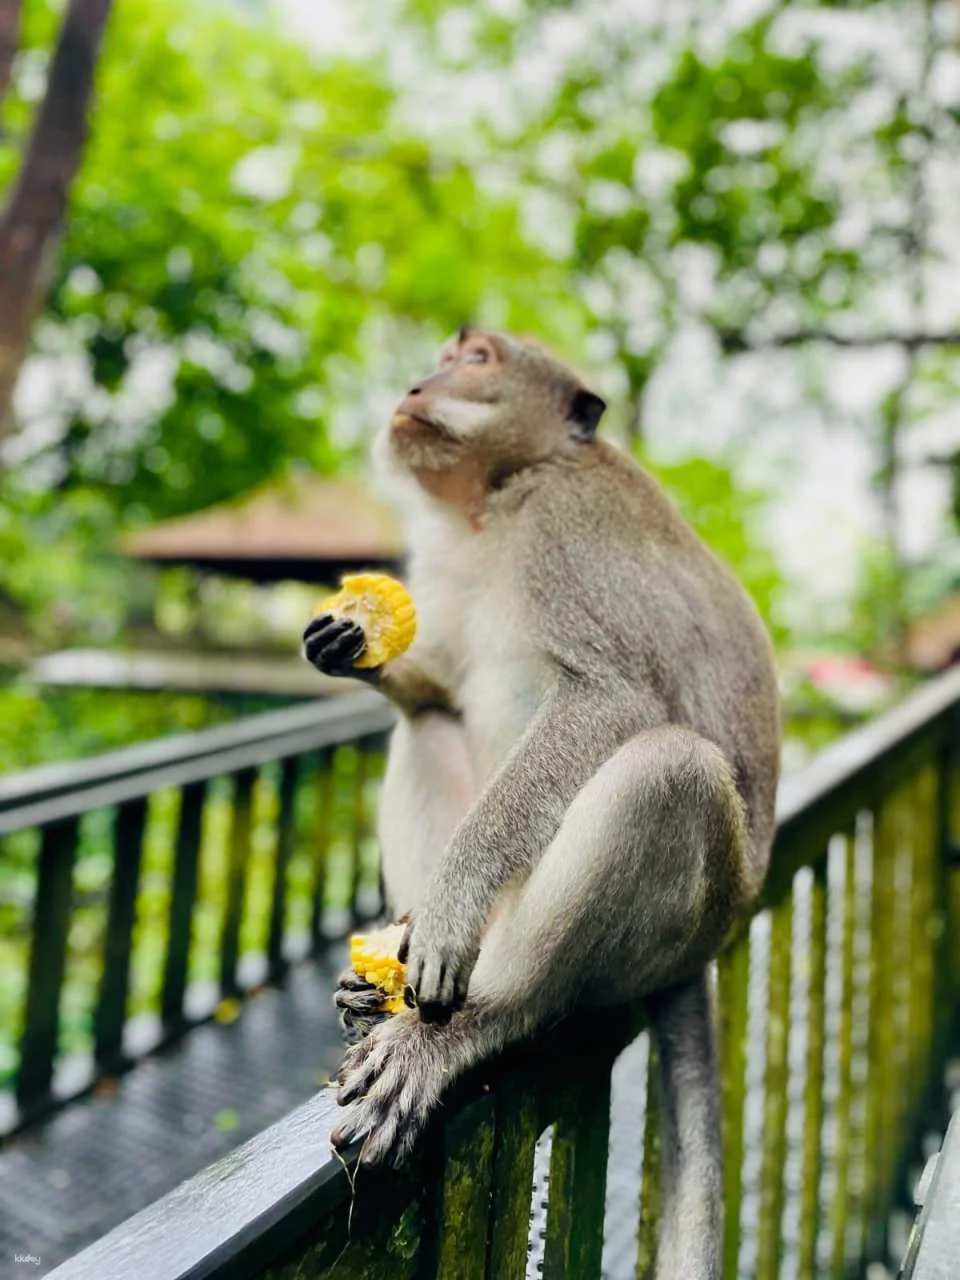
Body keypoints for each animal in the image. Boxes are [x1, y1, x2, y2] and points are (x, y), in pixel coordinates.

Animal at [302, 326, 780, 1280]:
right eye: (451, 351)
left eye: (479, 357)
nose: (420, 384)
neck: (499, 501)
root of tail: (708, 946)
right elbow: (440, 689)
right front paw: (356, 643)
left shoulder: (568, 534)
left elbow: (611, 699)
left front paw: (451, 906)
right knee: (431, 725)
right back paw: (386, 966)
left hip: (677, 923)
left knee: (667, 771)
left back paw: (461, 1026)